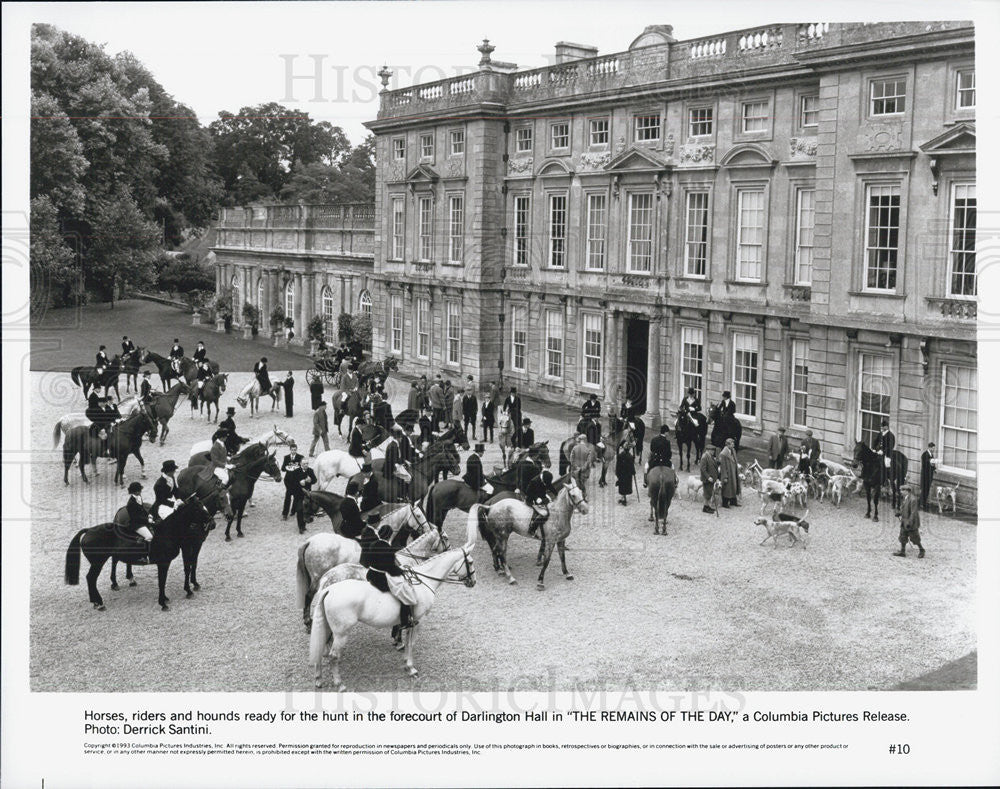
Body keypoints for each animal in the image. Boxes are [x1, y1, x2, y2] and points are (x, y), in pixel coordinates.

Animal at [65, 496, 218, 612]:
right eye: (198, 508)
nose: (212, 522)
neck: (168, 531)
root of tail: (89, 530)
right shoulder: (164, 562)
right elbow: (162, 581)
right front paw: (163, 603)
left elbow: (173, 576)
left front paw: (169, 597)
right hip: (98, 563)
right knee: (91, 578)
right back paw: (100, 602)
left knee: (94, 576)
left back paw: (97, 601)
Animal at [308, 504, 480, 688]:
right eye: (470, 562)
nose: (473, 582)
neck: (424, 578)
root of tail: (327, 584)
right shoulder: (417, 619)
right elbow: (411, 642)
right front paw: (409, 665)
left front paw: (401, 650)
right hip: (341, 631)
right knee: (332, 654)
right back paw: (338, 683)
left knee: (322, 645)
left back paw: (318, 677)